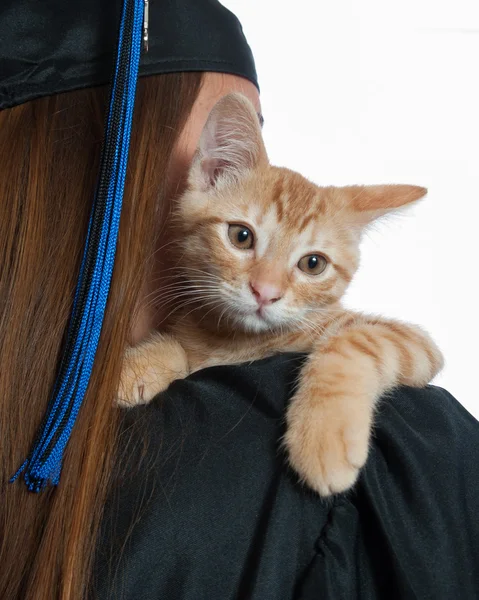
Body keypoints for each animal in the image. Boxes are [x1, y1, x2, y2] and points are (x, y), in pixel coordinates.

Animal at [118, 94, 444, 496]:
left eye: (313, 264)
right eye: (241, 236)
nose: (265, 292)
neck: (235, 343)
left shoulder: (419, 345)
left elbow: (357, 339)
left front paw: (324, 436)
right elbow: (179, 346)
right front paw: (138, 364)